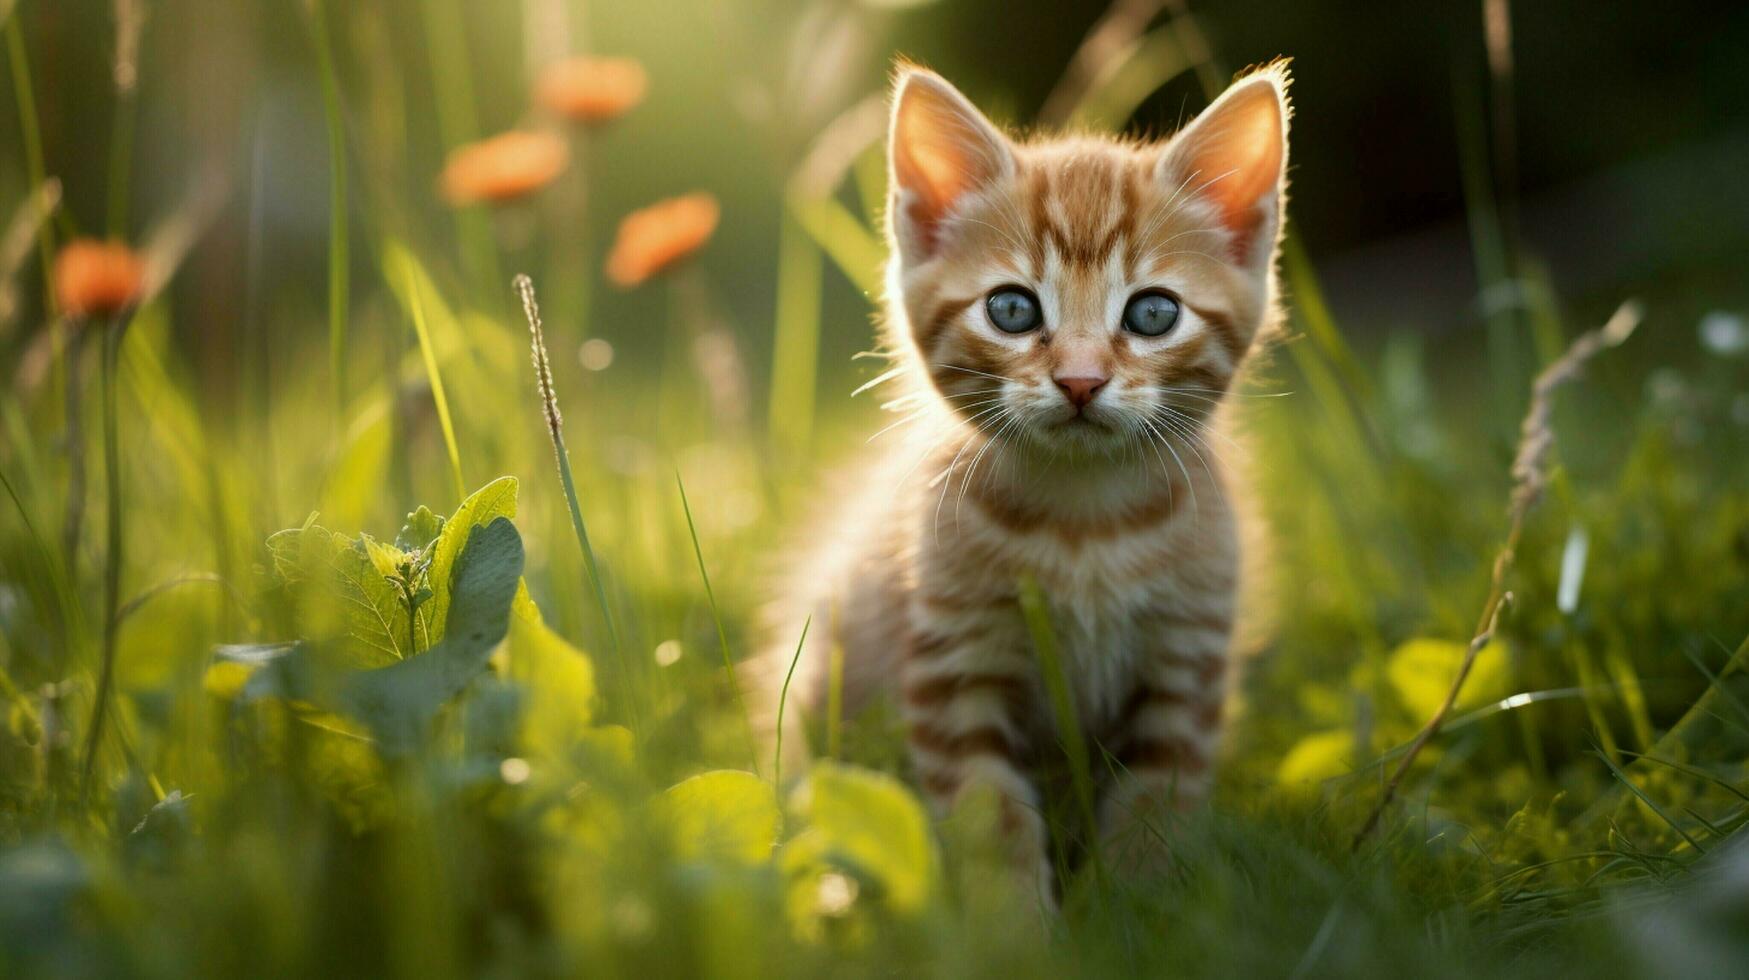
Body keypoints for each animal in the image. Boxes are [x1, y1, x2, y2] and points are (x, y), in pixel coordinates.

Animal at [745, 65, 1294, 903]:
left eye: (1153, 313)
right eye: (1010, 309)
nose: (1079, 381)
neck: (1084, 524)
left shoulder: (1184, 667)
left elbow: (1154, 812)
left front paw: (1138, 912)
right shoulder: (954, 669)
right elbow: (989, 819)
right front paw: (1015, 925)